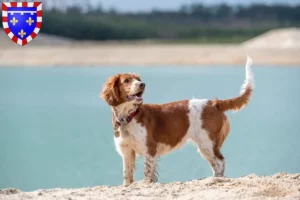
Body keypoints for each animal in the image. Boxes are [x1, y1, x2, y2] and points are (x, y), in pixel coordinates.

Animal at [100, 55, 253, 185]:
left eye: (137, 79)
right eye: (127, 80)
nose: (142, 84)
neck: (129, 117)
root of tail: (214, 103)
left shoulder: (149, 148)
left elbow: (147, 173)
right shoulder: (126, 151)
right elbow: (127, 175)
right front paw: (127, 185)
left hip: (207, 143)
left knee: (220, 162)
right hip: (206, 145)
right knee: (216, 164)